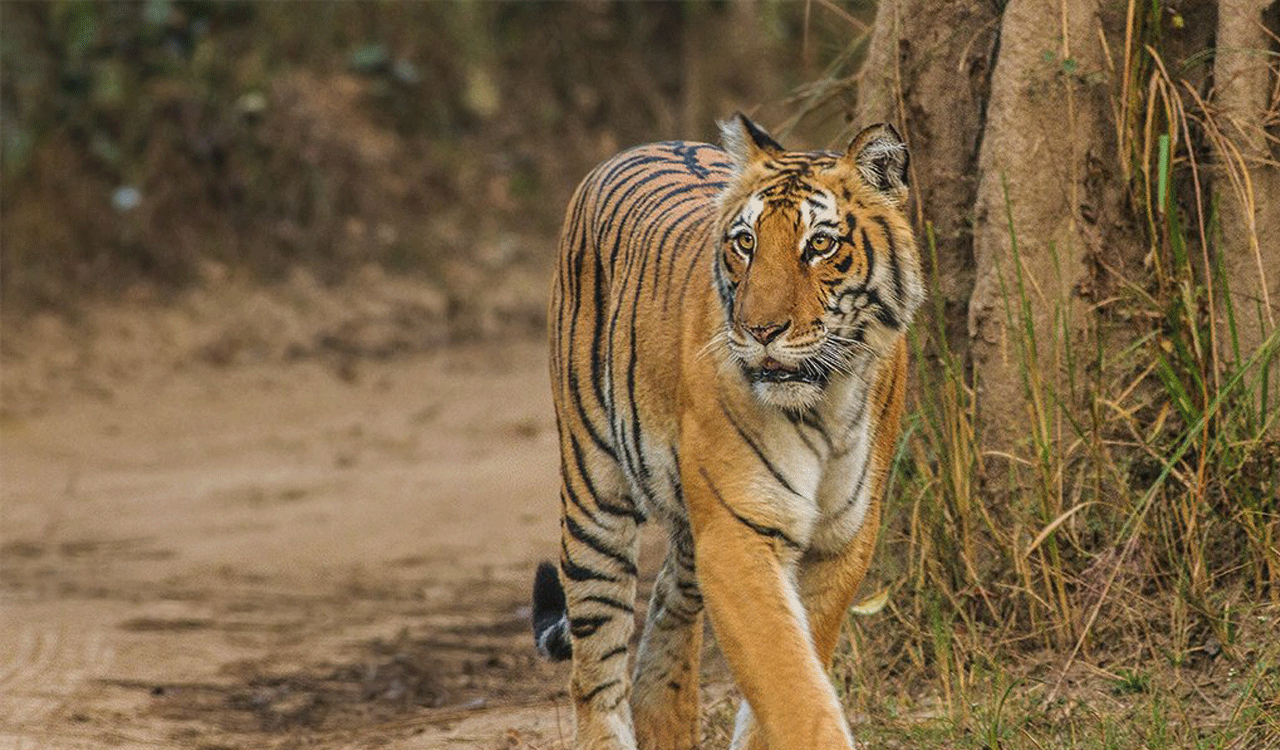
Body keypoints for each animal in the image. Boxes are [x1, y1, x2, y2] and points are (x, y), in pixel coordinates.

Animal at [531, 113, 923, 750]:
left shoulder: (842, 540)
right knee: (595, 674)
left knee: (663, 622)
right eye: (746, 242)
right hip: (594, 493)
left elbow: (793, 671)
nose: (761, 330)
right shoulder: (738, 533)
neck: (826, 402)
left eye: (820, 244)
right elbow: (792, 685)